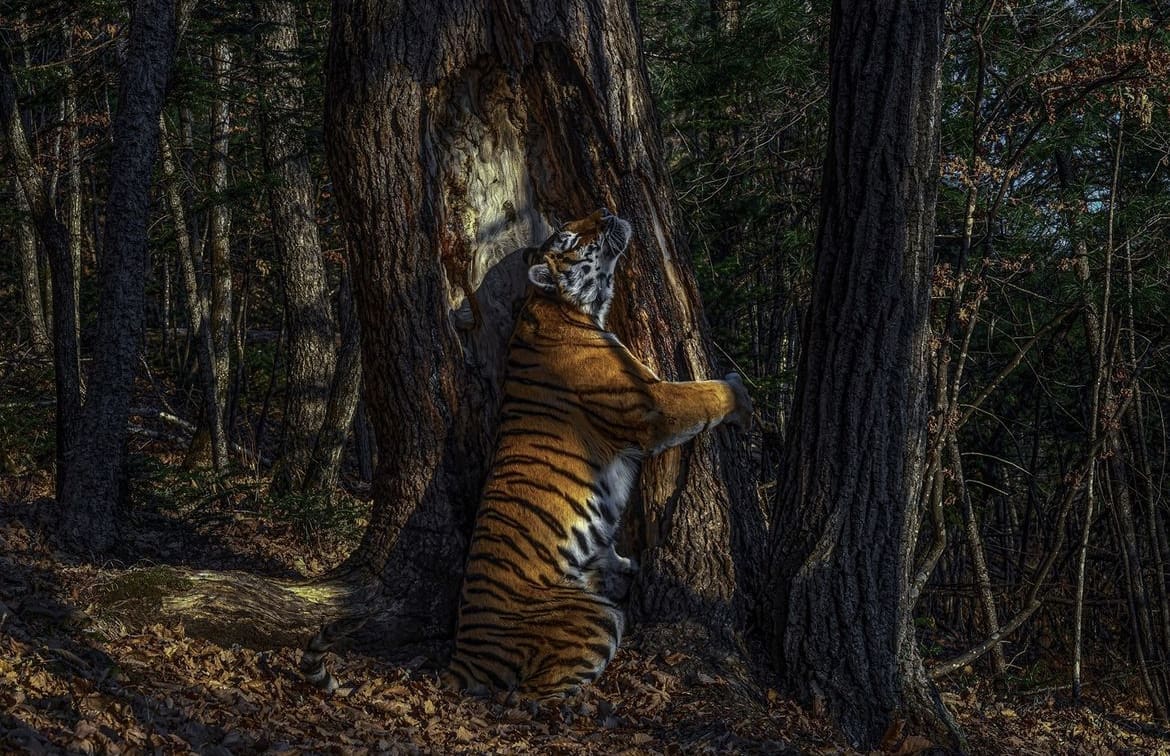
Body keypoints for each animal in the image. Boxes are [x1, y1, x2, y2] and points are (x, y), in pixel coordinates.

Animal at [299, 208, 751, 698]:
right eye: (572, 238)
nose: (606, 211)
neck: (564, 306)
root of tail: (460, 660)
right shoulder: (649, 404)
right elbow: (702, 395)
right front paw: (742, 394)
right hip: (594, 617)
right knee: (535, 696)